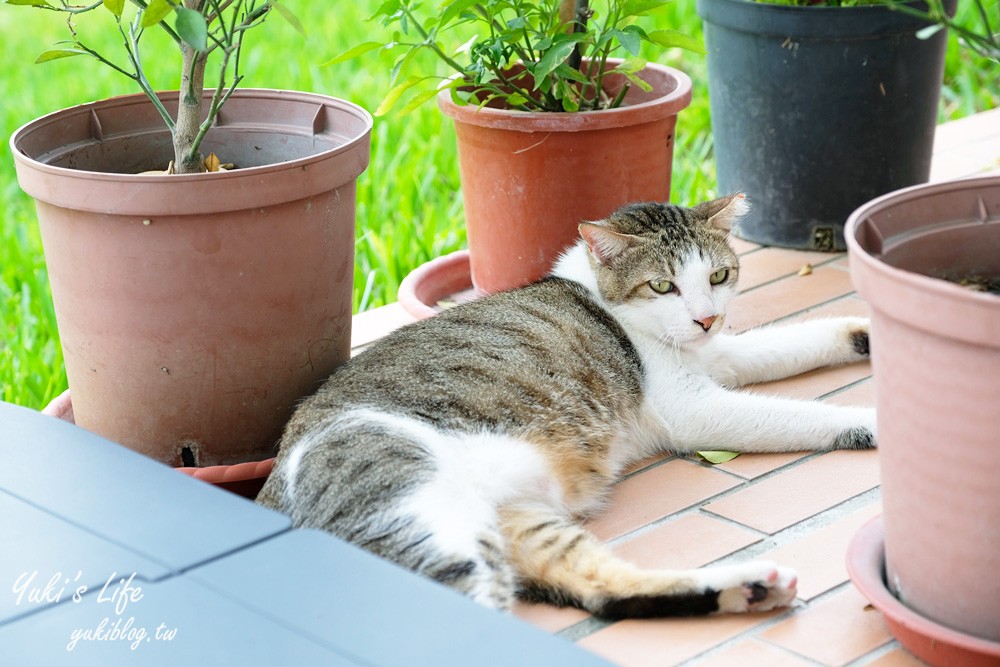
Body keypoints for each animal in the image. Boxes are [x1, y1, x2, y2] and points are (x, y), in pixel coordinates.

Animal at [258, 194, 876, 620]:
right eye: (663, 286)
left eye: (719, 275)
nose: (706, 317)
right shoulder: (691, 406)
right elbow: (800, 413)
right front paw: (872, 420)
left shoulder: (719, 355)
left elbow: (787, 342)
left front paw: (866, 333)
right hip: (418, 504)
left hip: (516, 522)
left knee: (603, 591)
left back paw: (748, 587)